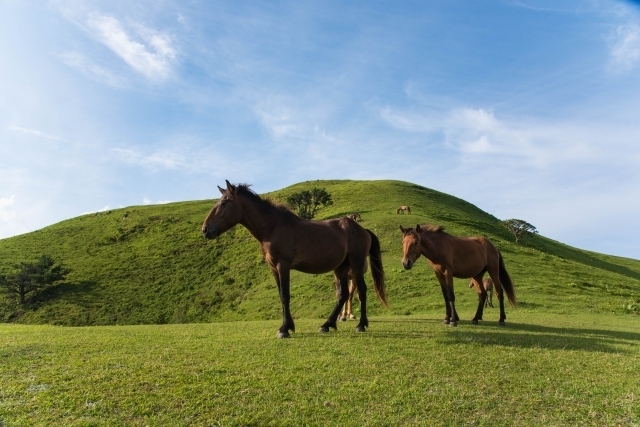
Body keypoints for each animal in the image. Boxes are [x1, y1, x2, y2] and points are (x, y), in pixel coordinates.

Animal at [202, 182, 388, 340]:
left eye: (224, 203)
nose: (205, 229)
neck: (273, 227)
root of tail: (363, 230)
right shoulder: (273, 268)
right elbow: (281, 295)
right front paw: (288, 326)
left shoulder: (283, 266)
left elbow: (285, 295)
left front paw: (285, 329)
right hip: (341, 268)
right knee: (342, 295)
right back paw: (326, 325)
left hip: (356, 264)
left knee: (361, 291)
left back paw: (361, 325)